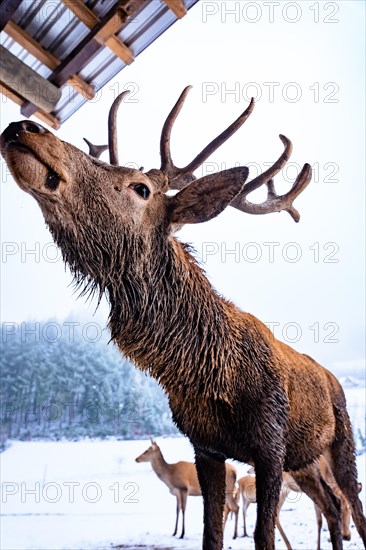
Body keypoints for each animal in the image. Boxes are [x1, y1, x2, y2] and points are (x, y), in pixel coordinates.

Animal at [1, 87, 364, 550]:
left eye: (140, 188)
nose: (24, 127)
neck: (215, 376)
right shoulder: (205, 446)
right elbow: (210, 534)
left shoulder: (270, 443)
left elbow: (262, 534)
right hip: (303, 461)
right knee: (333, 507)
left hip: (339, 442)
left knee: (352, 503)